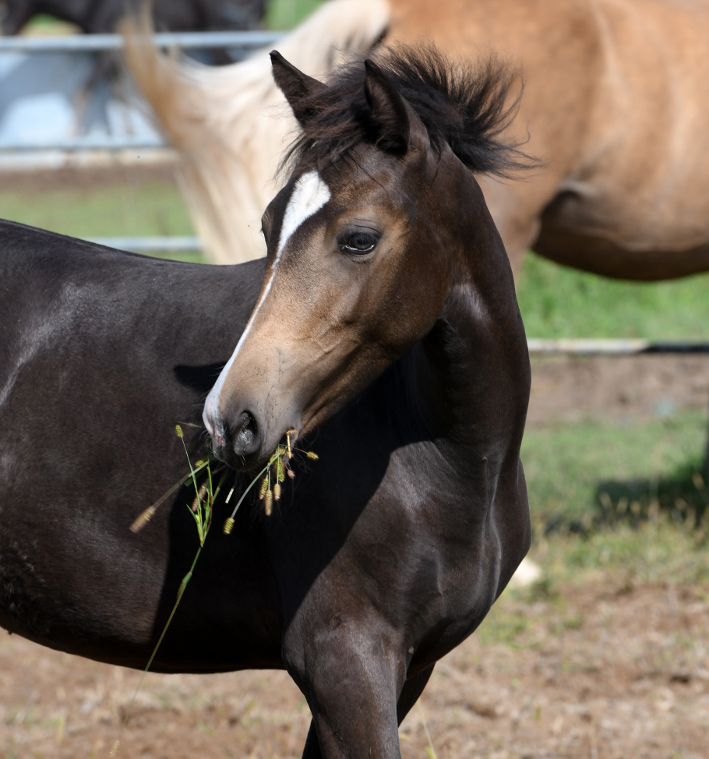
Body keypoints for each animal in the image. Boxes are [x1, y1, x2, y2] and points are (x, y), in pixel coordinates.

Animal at [0, 44, 532, 756]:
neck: (455, 458)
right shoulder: (343, 661)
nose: (230, 421)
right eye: (266, 226)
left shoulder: (407, 669)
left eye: (359, 238)